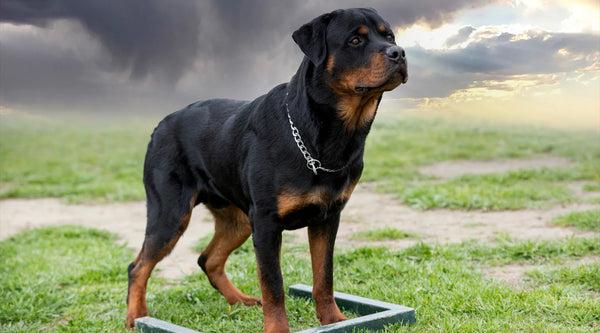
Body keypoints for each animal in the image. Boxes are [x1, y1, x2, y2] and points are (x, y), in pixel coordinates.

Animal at [126, 7, 408, 332]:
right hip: (171, 212)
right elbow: (273, 285)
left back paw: (240, 301)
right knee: (138, 266)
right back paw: (135, 317)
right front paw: (278, 328)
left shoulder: (328, 217)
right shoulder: (266, 223)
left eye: (390, 37)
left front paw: (333, 319)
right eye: (355, 40)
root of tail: (161, 124)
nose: (399, 52)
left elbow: (324, 277)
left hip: (237, 219)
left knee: (208, 260)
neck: (324, 136)